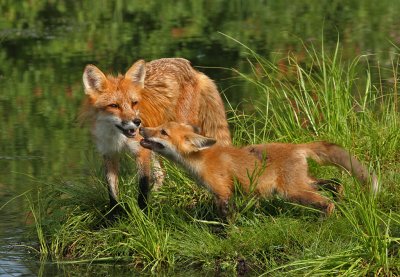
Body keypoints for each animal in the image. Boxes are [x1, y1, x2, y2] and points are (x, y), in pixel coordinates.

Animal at [79, 57, 231, 209]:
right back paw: (157, 196)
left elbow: (143, 187)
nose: (137, 122)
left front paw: (143, 211)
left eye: (134, 103)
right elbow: (112, 191)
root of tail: (190, 67)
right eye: (114, 106)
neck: (116, 137)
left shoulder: (141, 151)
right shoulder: (109, 153)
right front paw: (114, 213)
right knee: (161, 174)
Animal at [140, 122, 378, 217]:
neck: (202, 161)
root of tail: (298, 146)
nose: (141, 127)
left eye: (163, 132)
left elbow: (227, 219)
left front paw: (228, 236)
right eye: (158, 127)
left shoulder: (223, 192)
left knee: (326, 201)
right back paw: (340, 198)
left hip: (292, 192)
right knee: (334, 183)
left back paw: (326, 219)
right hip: (303, 183)